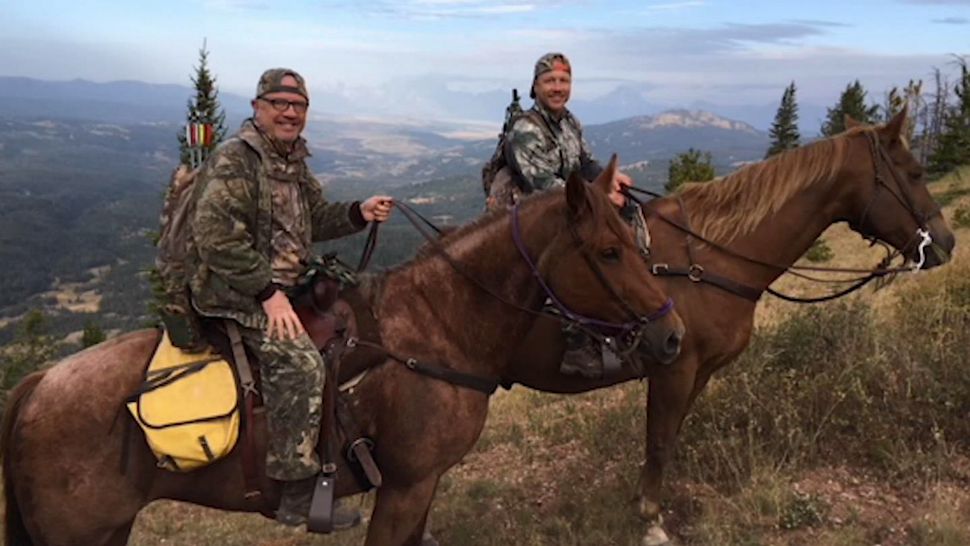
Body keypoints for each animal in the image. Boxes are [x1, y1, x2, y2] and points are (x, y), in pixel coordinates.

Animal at [1, 162, 680, 544]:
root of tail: (35, 385)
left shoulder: (421, 485)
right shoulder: (405, 486)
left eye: (635, 239)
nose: (670, 335)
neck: (437, 325)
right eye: (610, 250)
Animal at [502, 108, 956, 540]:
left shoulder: (699, 371)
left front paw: (641, 499)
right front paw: (650, 519)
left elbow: (668, 436)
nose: (946, 242)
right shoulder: (674, 369)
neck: (709, 260)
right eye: (915, 172)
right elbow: (659, 441)